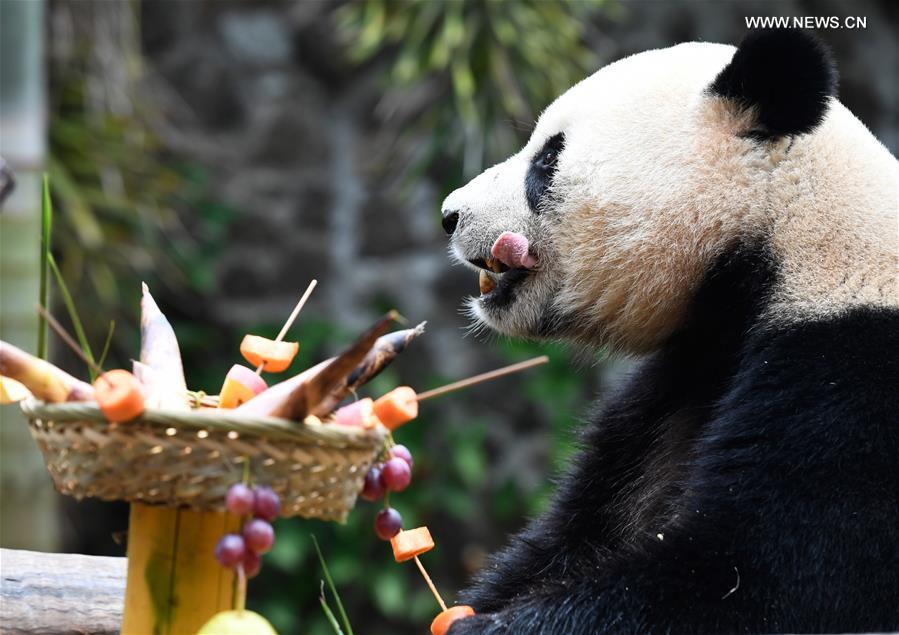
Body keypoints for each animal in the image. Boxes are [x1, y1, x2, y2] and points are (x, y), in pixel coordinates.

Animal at [440, 29, 898, 634]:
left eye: (548, 158)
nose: (450, 215)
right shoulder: (680, 378)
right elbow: (579, 531)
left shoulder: (852, 380)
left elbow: (757, 579)